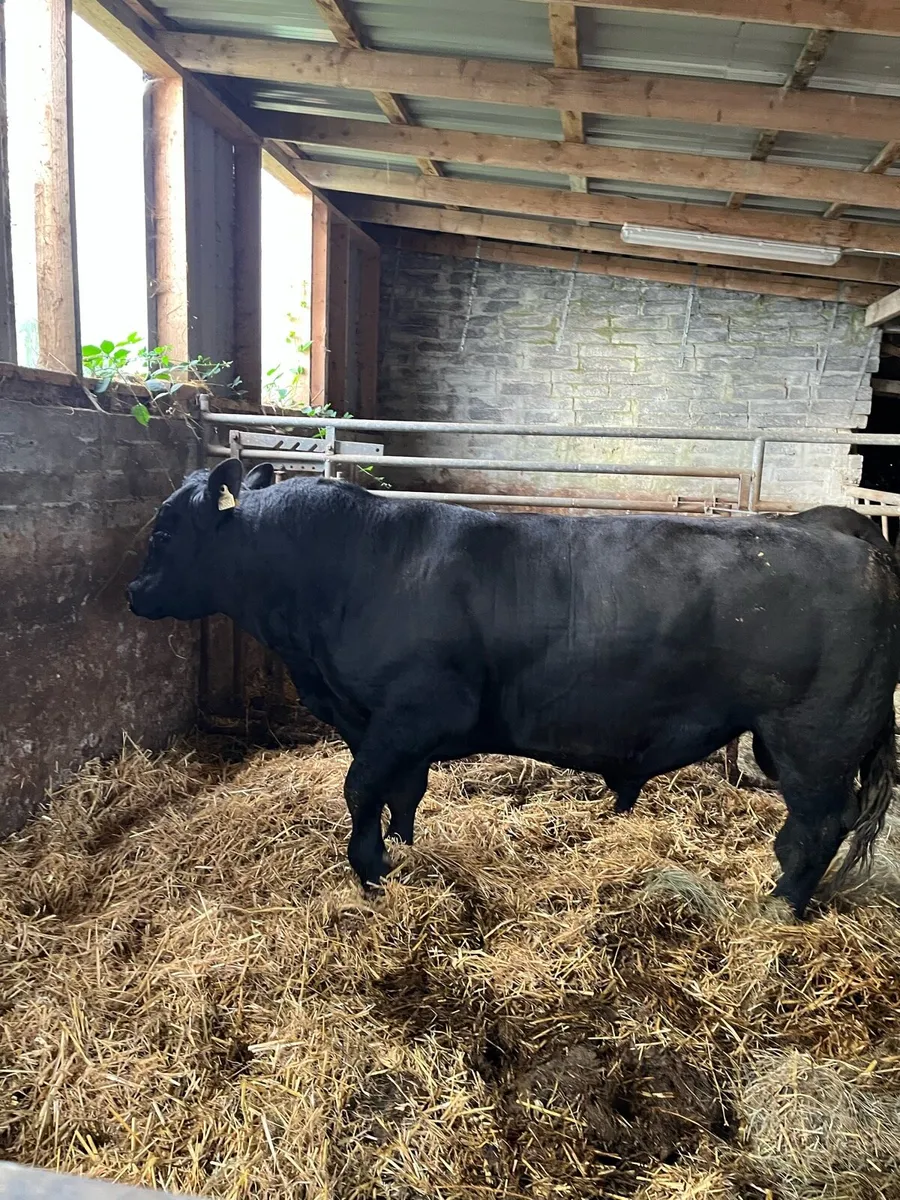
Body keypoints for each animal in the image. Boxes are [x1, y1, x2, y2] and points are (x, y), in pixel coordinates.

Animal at [127, 461, 900, 918]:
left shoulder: (412, 713)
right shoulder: (390, 727)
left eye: (163, 531)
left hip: (813, 738)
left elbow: (361, 788)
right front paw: (404, 850)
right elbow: (403, 792)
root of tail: (845, 532)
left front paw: (371, 871)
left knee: (818, 826)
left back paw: (781, 904)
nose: (133, 591)